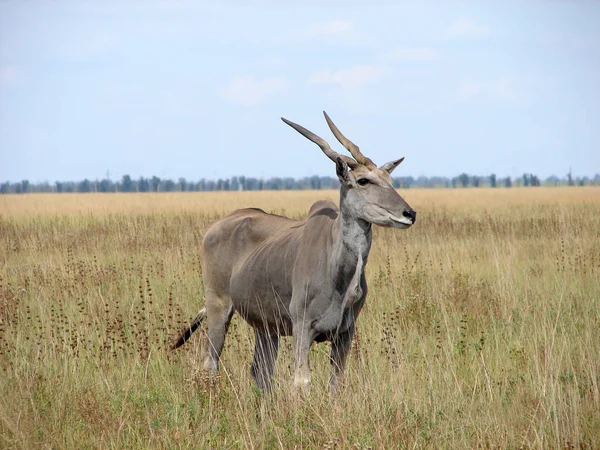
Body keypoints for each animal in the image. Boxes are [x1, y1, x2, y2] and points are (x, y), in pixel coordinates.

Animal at [173, 112, 414, 390]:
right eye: (363, 180)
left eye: (390, 181)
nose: (409, 214)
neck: (337, 269)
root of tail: (216, 226)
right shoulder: (303, 327)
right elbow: (302, 381)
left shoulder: (345, 333)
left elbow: (336, 382)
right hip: (218, 306)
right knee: (210, 362)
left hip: (266, 328)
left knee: (261, 371)